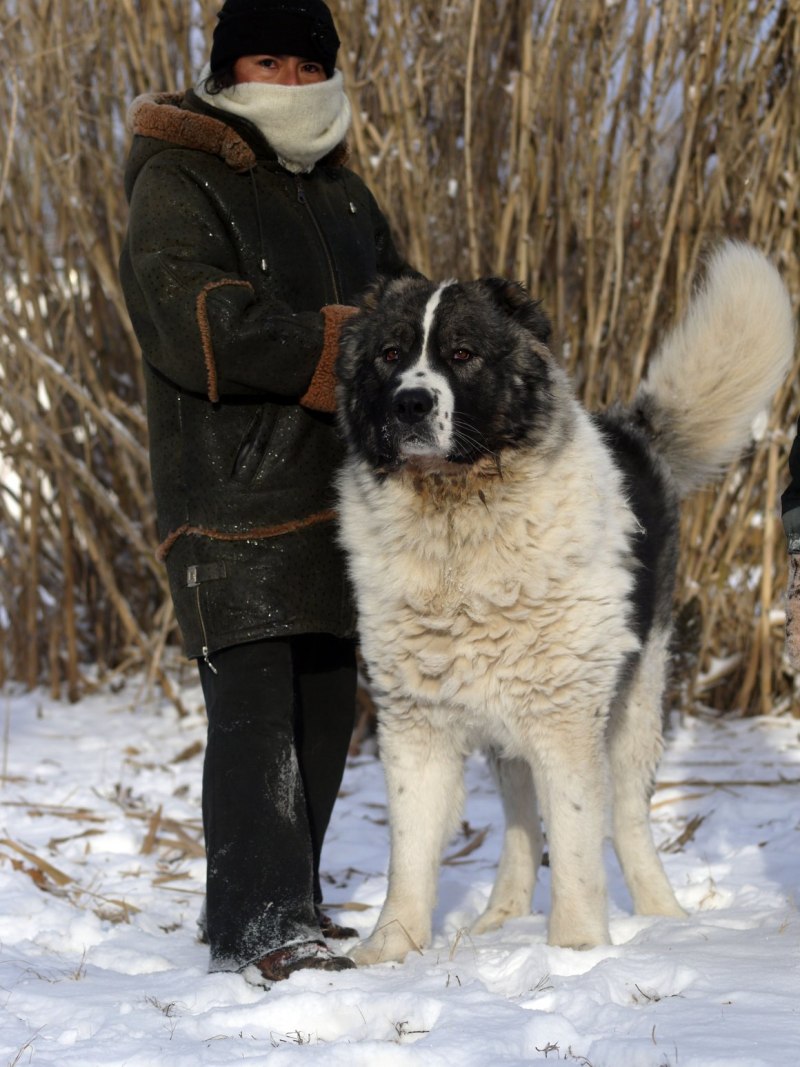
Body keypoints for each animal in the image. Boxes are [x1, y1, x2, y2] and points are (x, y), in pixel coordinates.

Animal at [332, 245, 797, 964]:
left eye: (462, 353)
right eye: (389, 353)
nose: (411, 403)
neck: (461, 525)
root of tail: (634, 432)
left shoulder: (566, 719)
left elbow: (578, 839)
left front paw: (576, 950)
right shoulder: (415, 721)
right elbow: (409, 853)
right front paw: (389, 952)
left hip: (634, 702)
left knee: (626, 819)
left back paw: (664, 918)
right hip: (508, 728)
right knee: (522, 820)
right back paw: (501, 916)